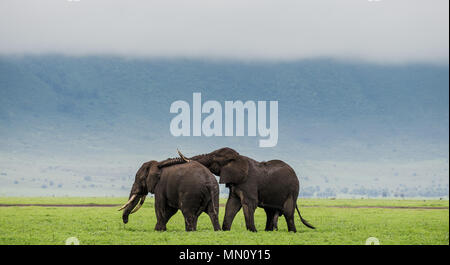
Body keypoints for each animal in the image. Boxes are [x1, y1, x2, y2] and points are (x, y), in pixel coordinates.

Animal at [174, 146, 314, 231]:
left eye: (214, 159)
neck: (238, 158)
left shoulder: (249, 182)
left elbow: (249, 203)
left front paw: (253, 231)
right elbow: (232, 204)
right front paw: (226, 230)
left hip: (293, 190)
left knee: (288, 211)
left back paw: (292, 232)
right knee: (270, 211)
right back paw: (268, 231)